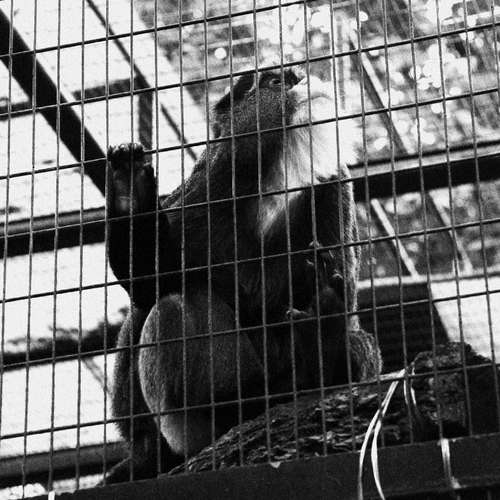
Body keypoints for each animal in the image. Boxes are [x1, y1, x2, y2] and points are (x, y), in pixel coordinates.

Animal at [104, 69, 381, 483]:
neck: (275, 171)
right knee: (175, 305)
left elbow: (342, 289)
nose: (302, 78)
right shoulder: (207, 184)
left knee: (358, 346)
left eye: (296, 73)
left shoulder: (334, 184)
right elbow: (149, 282)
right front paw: (130, 192)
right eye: (275, 81)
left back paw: (321, 354)